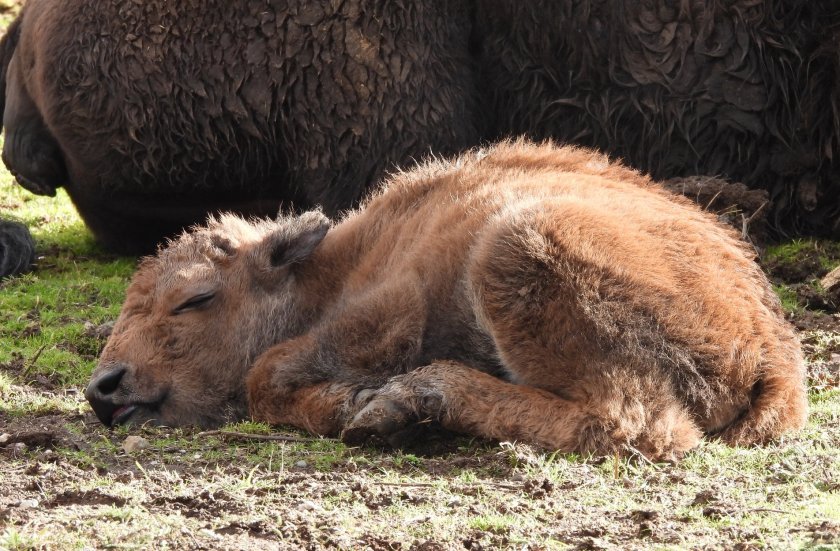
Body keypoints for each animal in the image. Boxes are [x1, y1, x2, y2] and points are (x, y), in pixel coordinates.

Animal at [85, 142, 808, 462]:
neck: (331, 270)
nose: (104, 386)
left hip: (518, 246)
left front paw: (356, 401)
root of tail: (774, 353)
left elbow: (271, 372)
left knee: (635, 422)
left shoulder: (389, 305)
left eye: (194, 299)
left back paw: (409, 403)